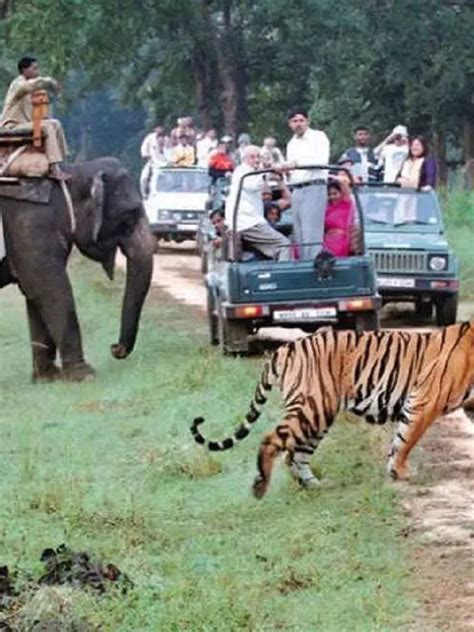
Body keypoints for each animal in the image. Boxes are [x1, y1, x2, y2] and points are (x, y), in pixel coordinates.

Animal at [0, 158, 155, 382]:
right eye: (129, 216)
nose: (114, 348)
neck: (69, 174)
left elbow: (33, 291)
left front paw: (48, 378)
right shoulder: (30, 223)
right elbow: (47, 286)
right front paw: (84, 375)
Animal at [190, 320, 474, 498]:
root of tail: (285, 348)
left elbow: (399, 441)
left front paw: (394, 471)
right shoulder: (424, 401)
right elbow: (406, 439)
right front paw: (400, 472)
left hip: (318, 415)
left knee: (296, 454)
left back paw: (314, 485)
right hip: (313, 408)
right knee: (273, 440)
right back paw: (260, 487)